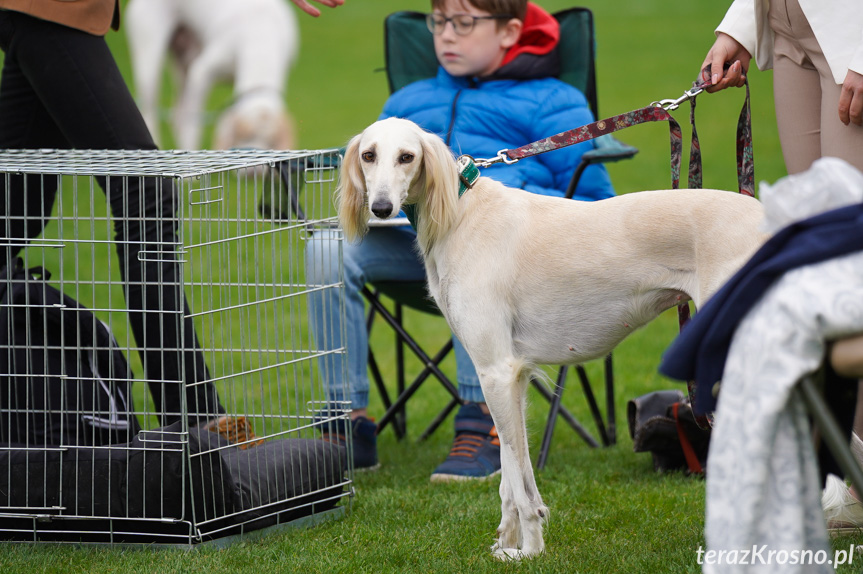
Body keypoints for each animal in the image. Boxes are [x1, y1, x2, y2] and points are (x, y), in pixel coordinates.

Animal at [123, 0, 300, 151]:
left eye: (272, 142)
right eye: (244, 136)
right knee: (151, 110)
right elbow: (192, 127)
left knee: (177, 114)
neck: (260, 37)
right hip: (150, 59)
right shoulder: (201, 73)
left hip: (185, 59)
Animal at [338, 118, 768, 564]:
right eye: (368, 155)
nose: (381, 208)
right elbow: (511, 477)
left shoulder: (496, 372)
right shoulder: (513, 376)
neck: (461, 213)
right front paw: (507, 541)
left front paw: (529, 550)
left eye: (407, 156)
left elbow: (519, 482)